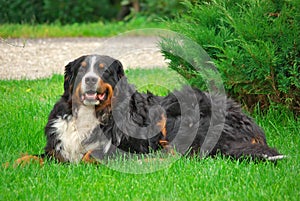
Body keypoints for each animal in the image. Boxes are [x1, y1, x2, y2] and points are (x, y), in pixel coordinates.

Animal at [15, 54, 284, 166]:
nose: (90, 79)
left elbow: (91, 155)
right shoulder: (56, 148)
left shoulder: (124, 147)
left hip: (178, 117)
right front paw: (14, 166)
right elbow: (27, 157)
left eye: (103, 70)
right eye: (82, 69)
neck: (93, 115)